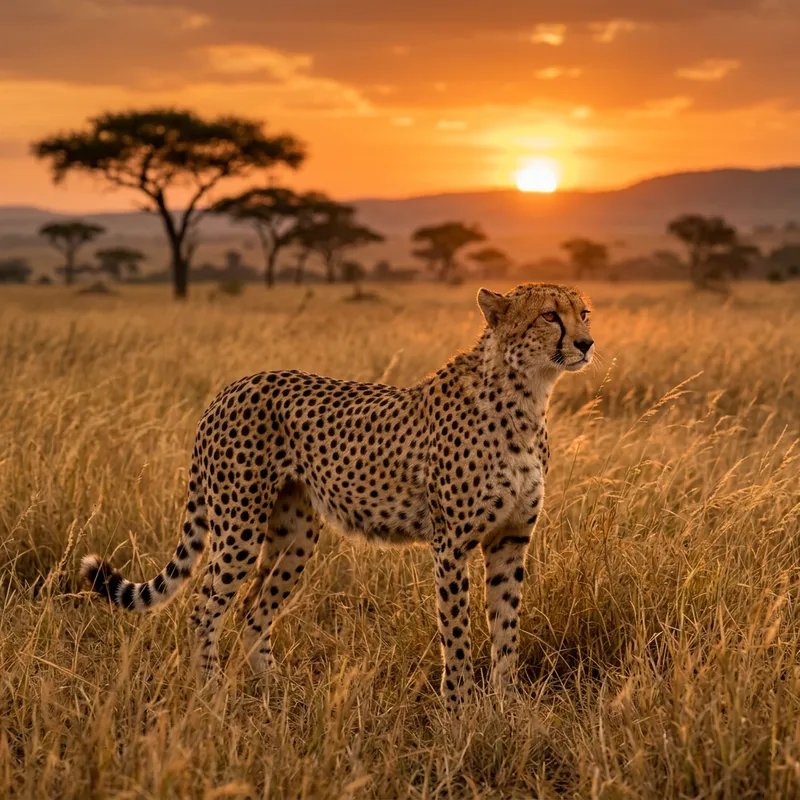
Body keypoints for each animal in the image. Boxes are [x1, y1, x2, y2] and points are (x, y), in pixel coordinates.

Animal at [81, 282, 594, 710]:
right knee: (204, 609)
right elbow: (457, 633)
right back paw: (211, 696)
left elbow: (506, 629)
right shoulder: (451, 545)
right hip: (240, 528)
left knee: (252, 611)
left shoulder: (510, 540)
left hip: (294, 535)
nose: (587, 343)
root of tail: (231, 387)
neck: (526, 397)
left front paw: (507, 708)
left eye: (584, 313)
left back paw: (277, 694)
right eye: (550, 316)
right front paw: (460, 711)